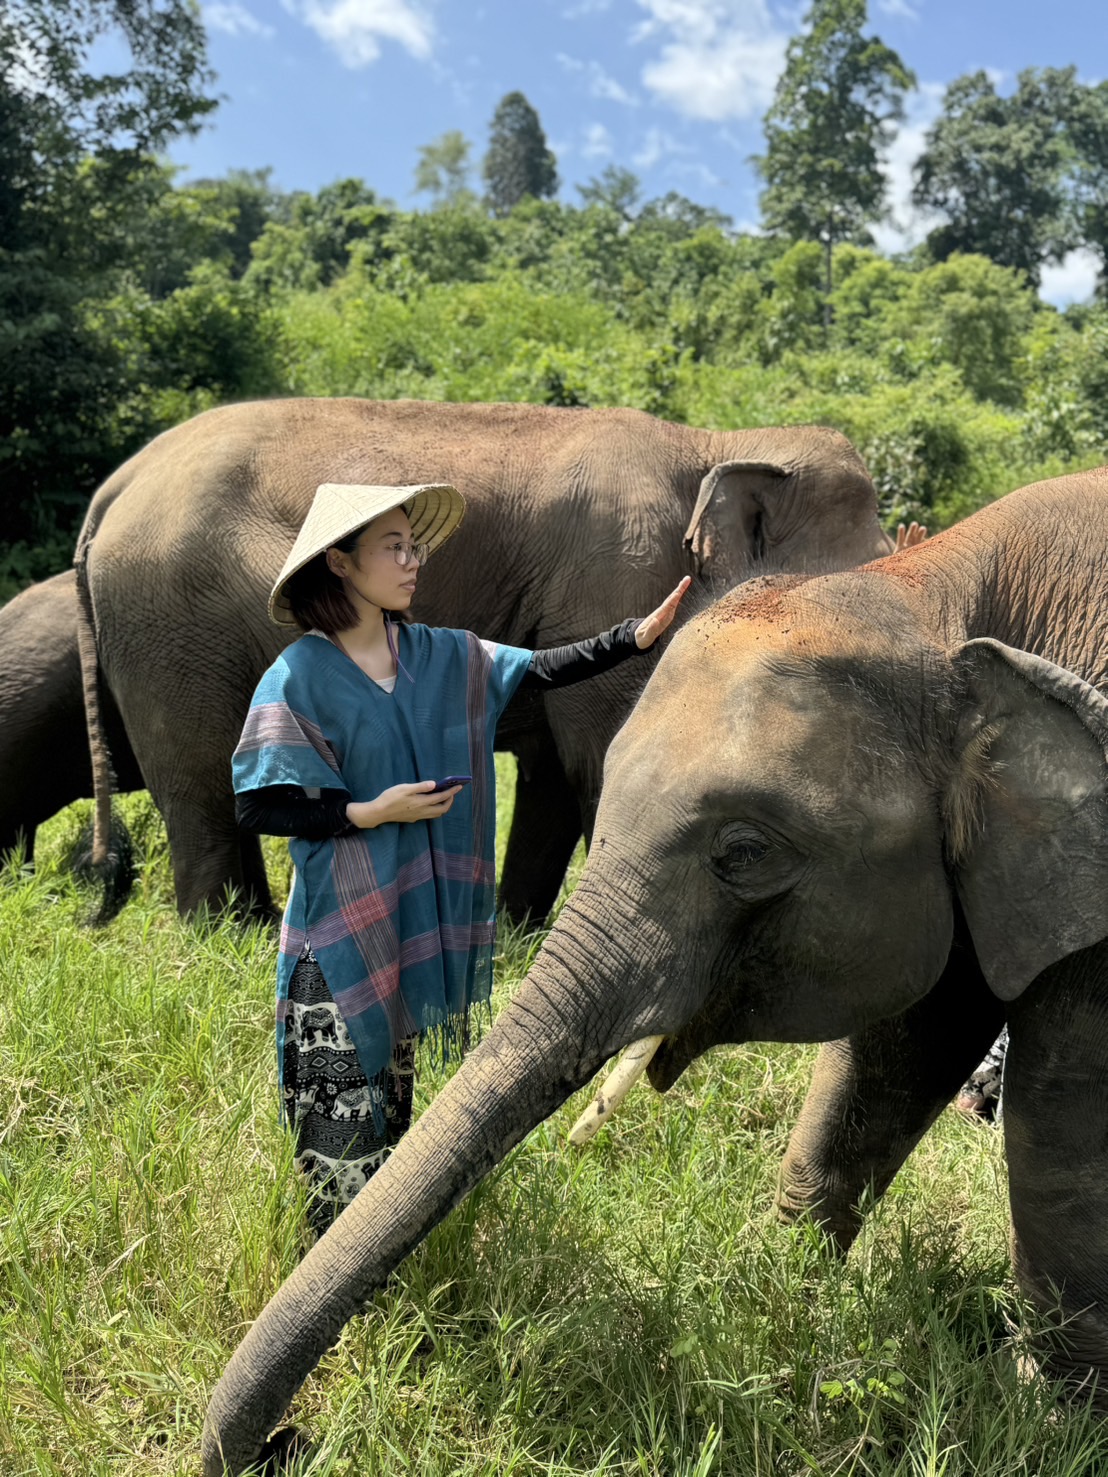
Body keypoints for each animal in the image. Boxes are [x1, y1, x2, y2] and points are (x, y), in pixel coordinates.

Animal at [71, 395, 892, 923]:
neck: (714, 443)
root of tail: (118, 482)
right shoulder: (611, 573)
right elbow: (601, 751)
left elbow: (554, 773)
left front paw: (520, 931)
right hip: (170, 618)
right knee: (200, 782)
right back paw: (224, 934)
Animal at [201, 467, 1108, 1473]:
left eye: (745, 852)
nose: (287, 1440)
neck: (934, 599)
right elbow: (896, 1051)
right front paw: (784, 1302)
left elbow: (1060, 1109)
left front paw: (1052, 1424)